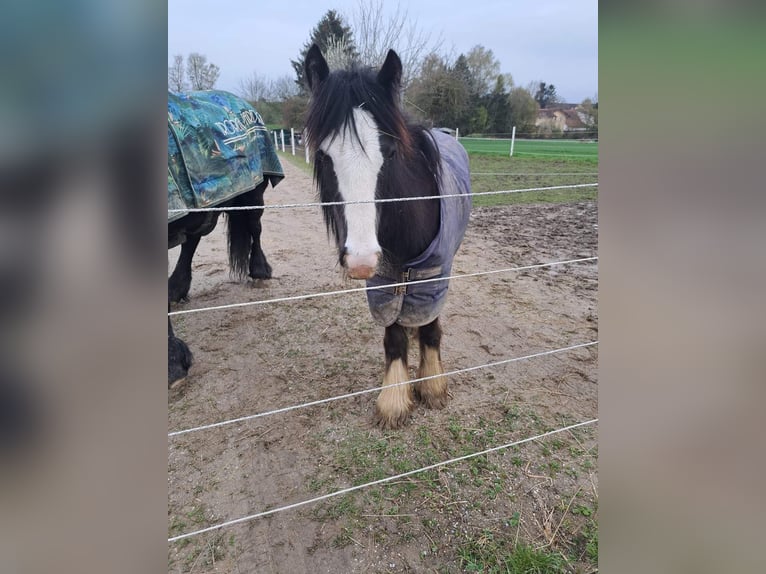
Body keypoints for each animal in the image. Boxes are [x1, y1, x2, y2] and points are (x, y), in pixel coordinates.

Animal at [304, 47, 472, 430]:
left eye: (391, 153)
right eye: (322, 155)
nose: (361, 260)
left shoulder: (433, 275)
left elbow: (430, 327)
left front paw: (432, 387)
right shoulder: (383, 285)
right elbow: (393, 337)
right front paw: (394, 400)